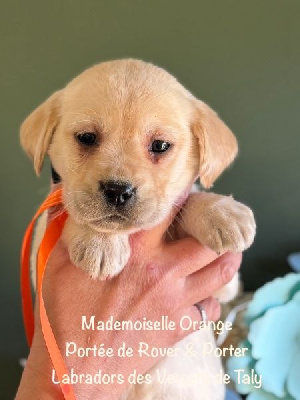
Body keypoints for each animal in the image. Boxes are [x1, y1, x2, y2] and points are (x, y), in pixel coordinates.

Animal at [20, 59, 255, 400]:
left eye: (160, 145)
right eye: (86, 138)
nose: (118, 191)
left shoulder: (225, 285)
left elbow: (184, 201)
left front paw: (222, 212)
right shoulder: (41, 242)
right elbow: (74, 209)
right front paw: (100, 243)